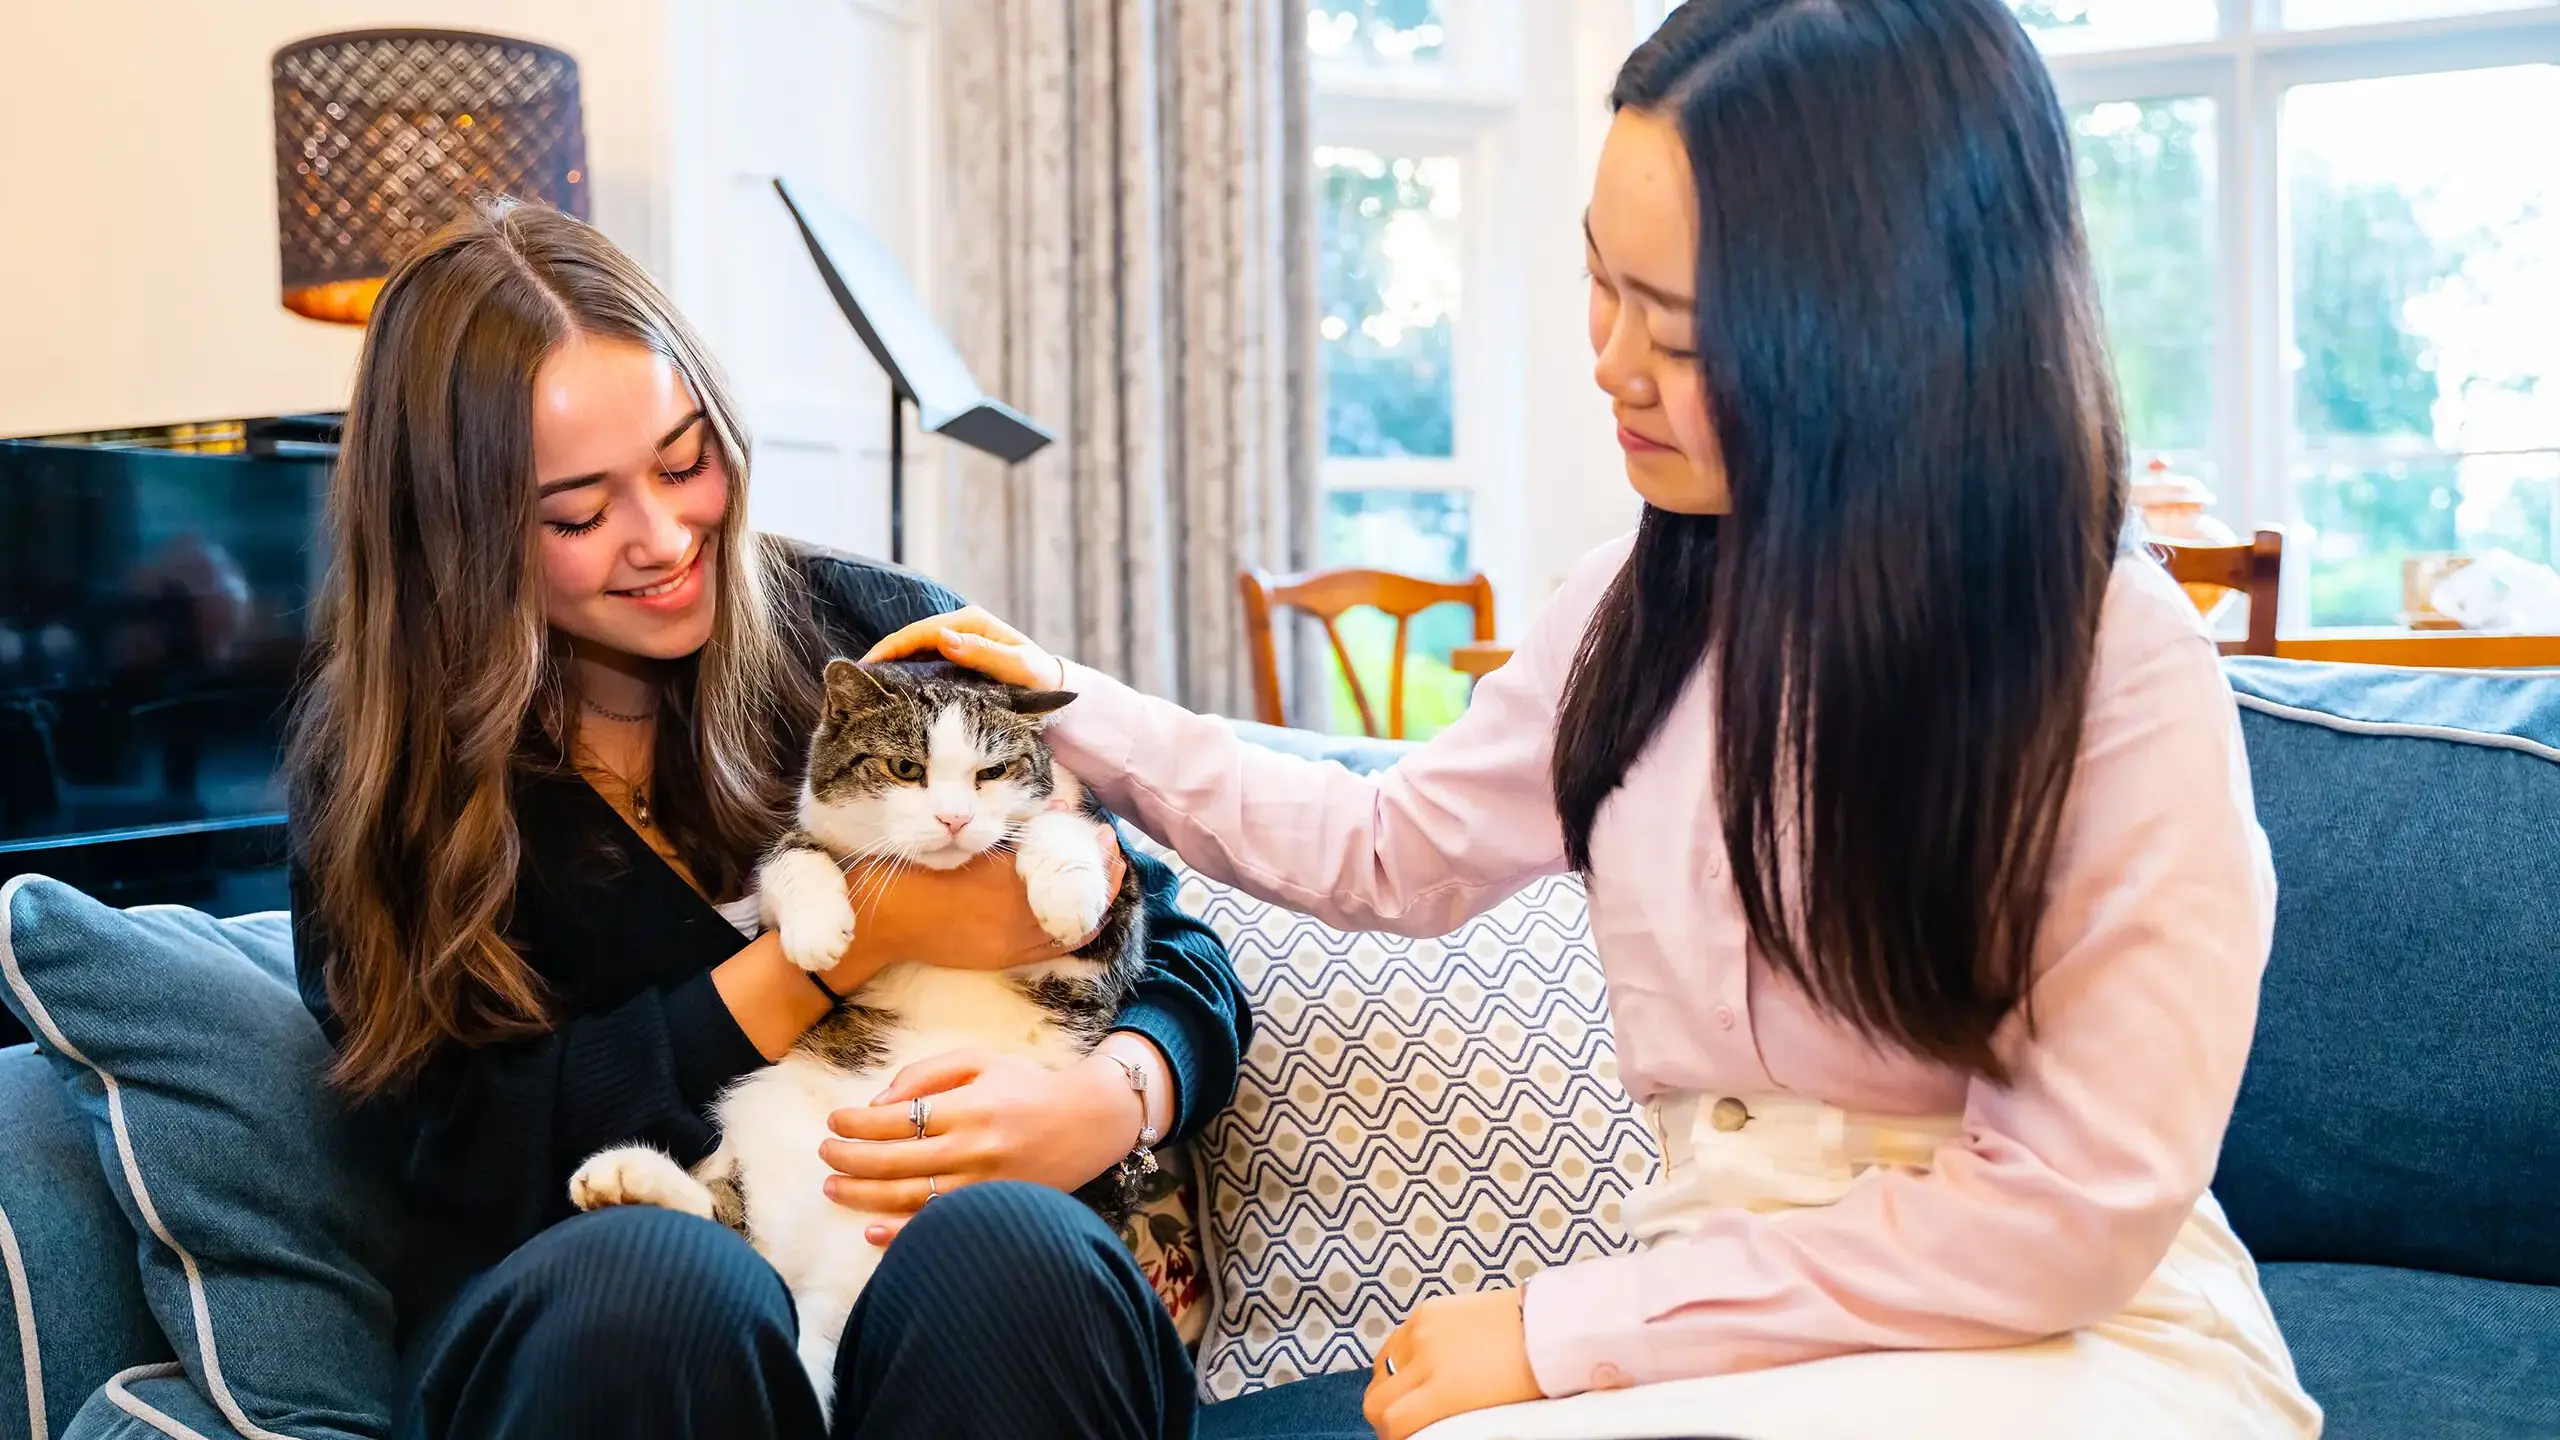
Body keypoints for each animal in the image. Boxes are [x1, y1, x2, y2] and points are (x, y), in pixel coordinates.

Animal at [581, 661, 1152, 1414]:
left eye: (992, 772)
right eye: (906, 768)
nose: (954, 819)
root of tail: (813, 1291)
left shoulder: (1113, 928)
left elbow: (1062, 832)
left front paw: (1064, 894)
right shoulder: (784, 878)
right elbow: (791, 856)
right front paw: (818, 929)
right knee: (730, 1232)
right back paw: (623, 1178)